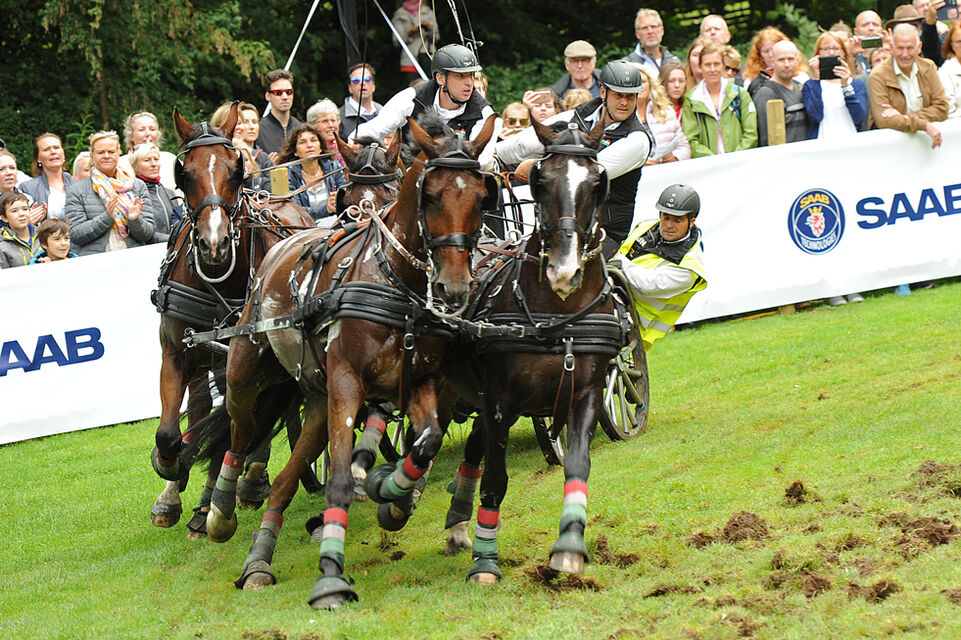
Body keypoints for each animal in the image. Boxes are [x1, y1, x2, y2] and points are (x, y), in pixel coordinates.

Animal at [148, 102, 315, 537]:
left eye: (235, 169)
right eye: (185, 173)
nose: (214, 244)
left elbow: (235, 428)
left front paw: (220, 498)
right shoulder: (175, 353)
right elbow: (169, 432)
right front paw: (172, 472)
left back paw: (250, 479)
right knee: (203, 406)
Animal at [190, 115, 498, 609]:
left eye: (479, 195)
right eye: (429, 196)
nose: (454, 287)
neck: (393, 279)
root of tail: (286, 239)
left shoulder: (417, 382)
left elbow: (426, 443)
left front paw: (393, 495)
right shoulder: (348, 384)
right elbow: (337, 477)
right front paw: (331, 578)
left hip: (318, 400)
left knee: (284, 482)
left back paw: (258, 563)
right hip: (246, 369)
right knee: (241, 427)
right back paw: (221, 510)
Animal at [438, 119, 621, 583]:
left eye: (598, 183)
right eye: (541, 181)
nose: (564, 271)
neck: (558, 316)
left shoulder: (586, 395)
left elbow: (577, 465)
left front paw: (569, 548)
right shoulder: (500, 402)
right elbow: (496, 479)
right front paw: (485, 563)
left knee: (473, 447)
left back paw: (458, 519)